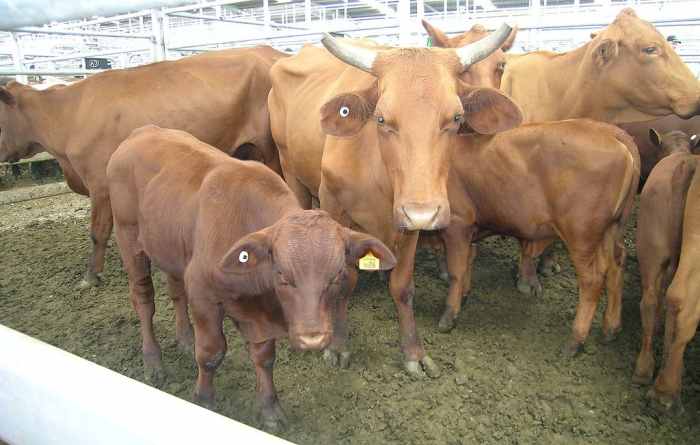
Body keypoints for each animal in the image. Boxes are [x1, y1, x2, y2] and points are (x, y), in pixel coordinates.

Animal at [0, 46, 286, 288]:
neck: (69, 113)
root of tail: (269, 51)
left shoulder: (99, 184)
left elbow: (97, 232)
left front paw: (90, 276)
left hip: (272, 153)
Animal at [106, 125, 397, 430]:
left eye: (337, 274)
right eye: (282, 275)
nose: (313, 337)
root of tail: (143, 131)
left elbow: (265, 358)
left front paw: (269, 409)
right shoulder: (203, 294)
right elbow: (210, 353)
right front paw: (204, 398)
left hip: (170, 248)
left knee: (176, 292)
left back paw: (184, 339)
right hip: (129, 240)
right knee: (144, 300)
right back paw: (153, 360)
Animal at [268, 26, 523, 377]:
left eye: (456, 117)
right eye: (381, 119)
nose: (423, 212)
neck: (378, 176)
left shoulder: (410, 222)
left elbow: (403, 287)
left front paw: (413, 353)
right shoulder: (335, 207)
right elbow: (343, 281)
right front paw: (338, 346)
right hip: (290, 168)